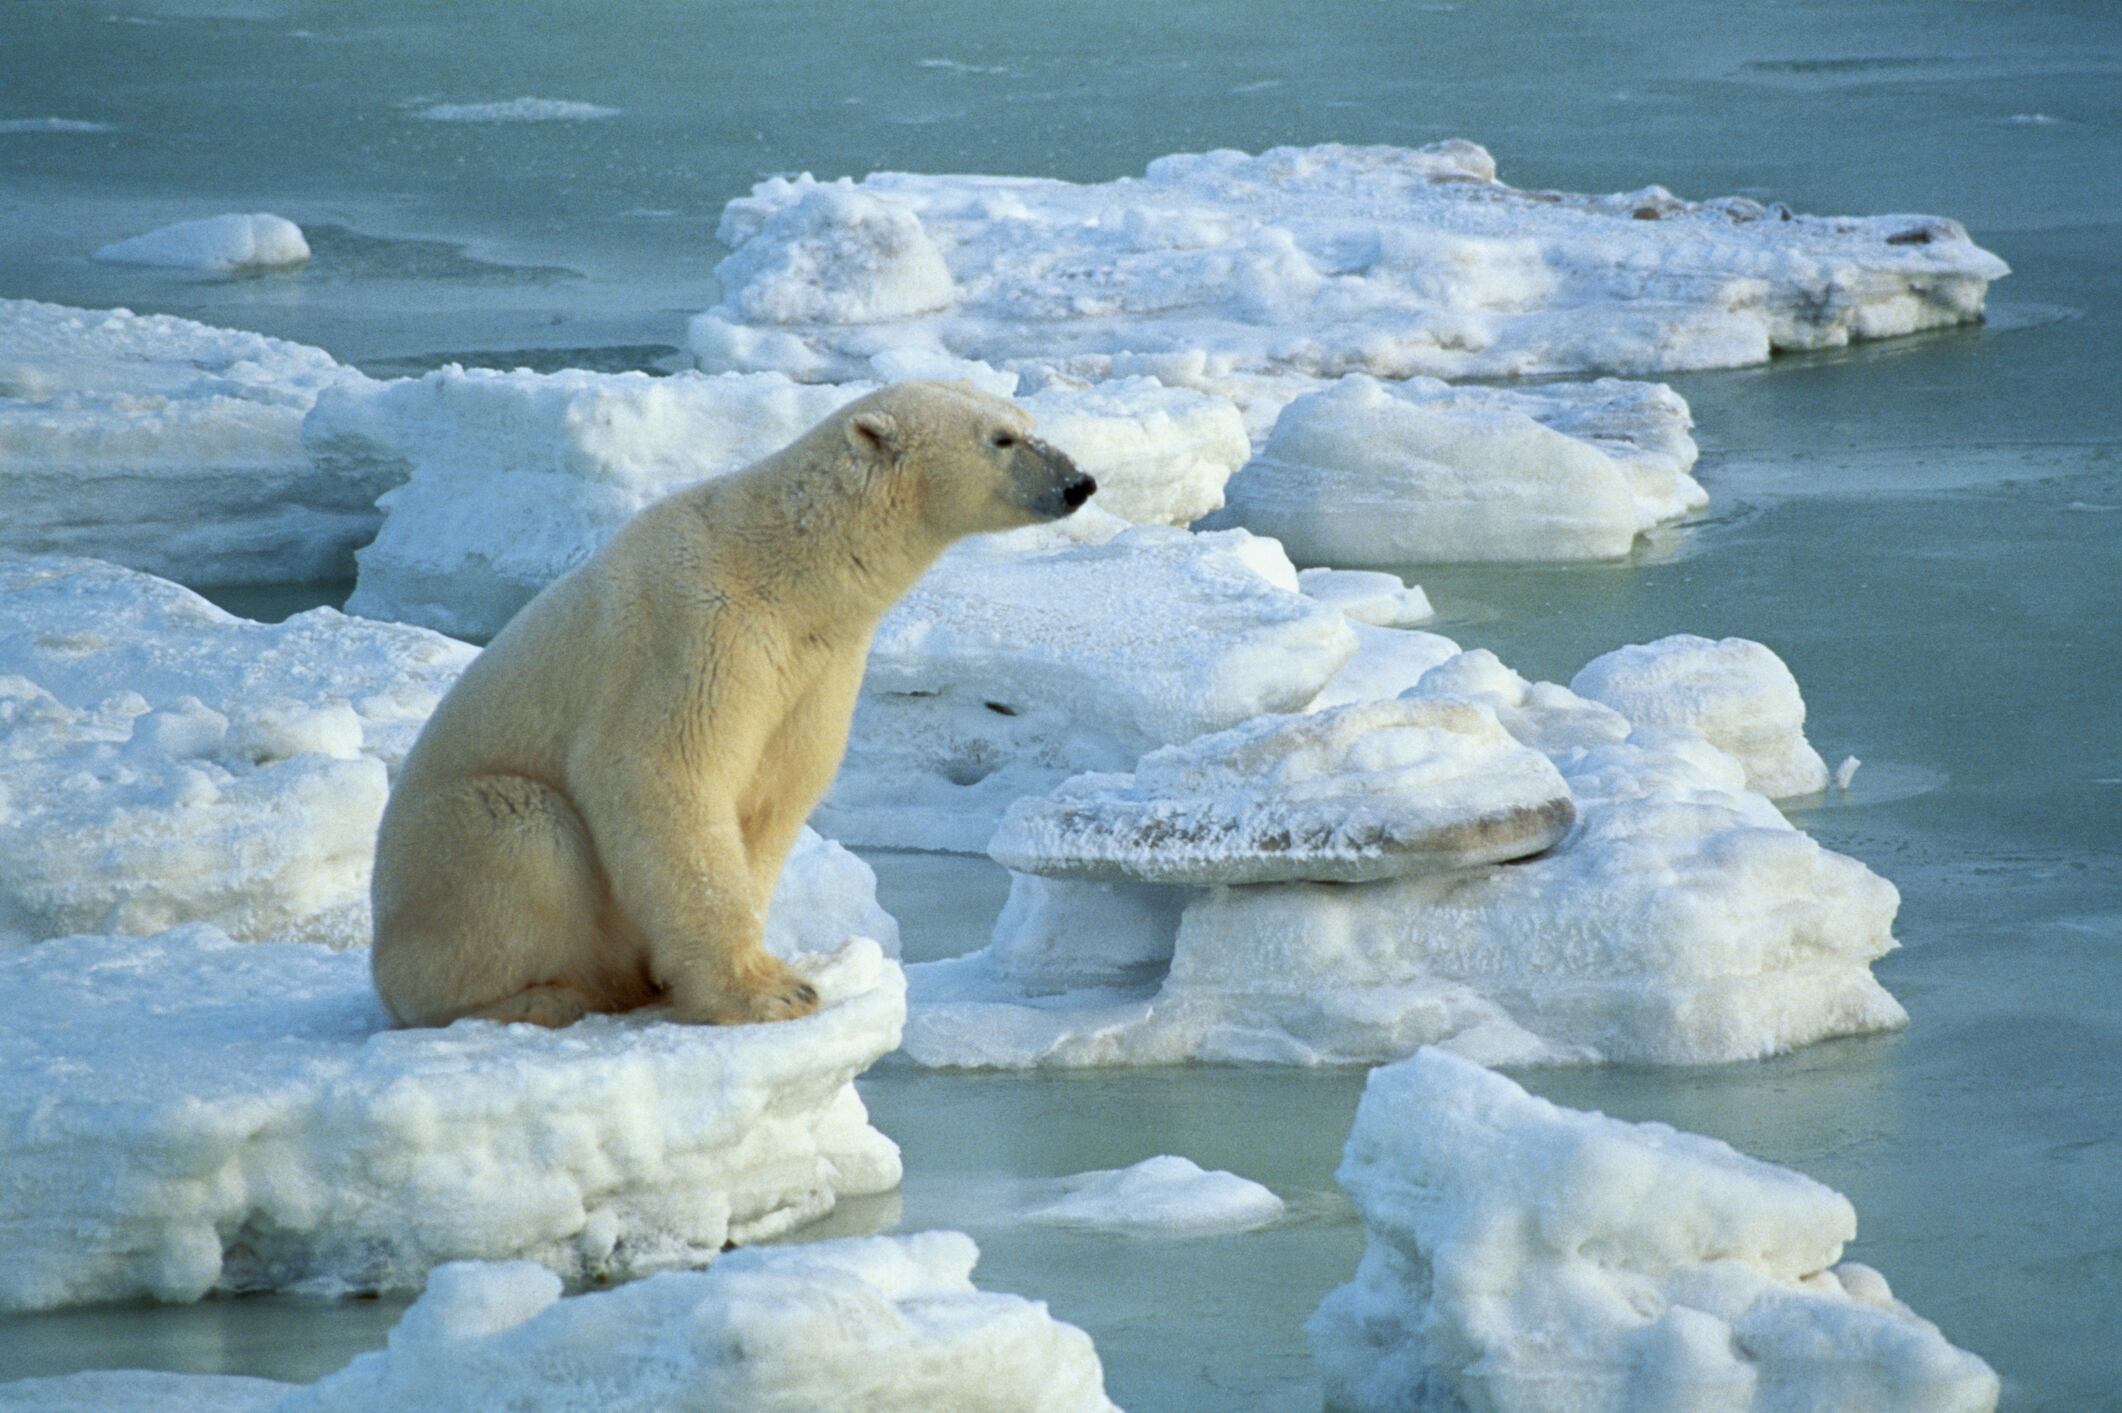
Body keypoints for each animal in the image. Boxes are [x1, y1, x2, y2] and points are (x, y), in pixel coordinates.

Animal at [370, 382, 1096, 1028]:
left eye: (1027, 422)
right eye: (1000, 439)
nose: (1080, 482)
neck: (781, 568)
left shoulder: (818, 670)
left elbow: (776, 792)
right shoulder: (693, 636)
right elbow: (661, 776)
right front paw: (770, 991)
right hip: (440, 857)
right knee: (520, 832)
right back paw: (540, 997)